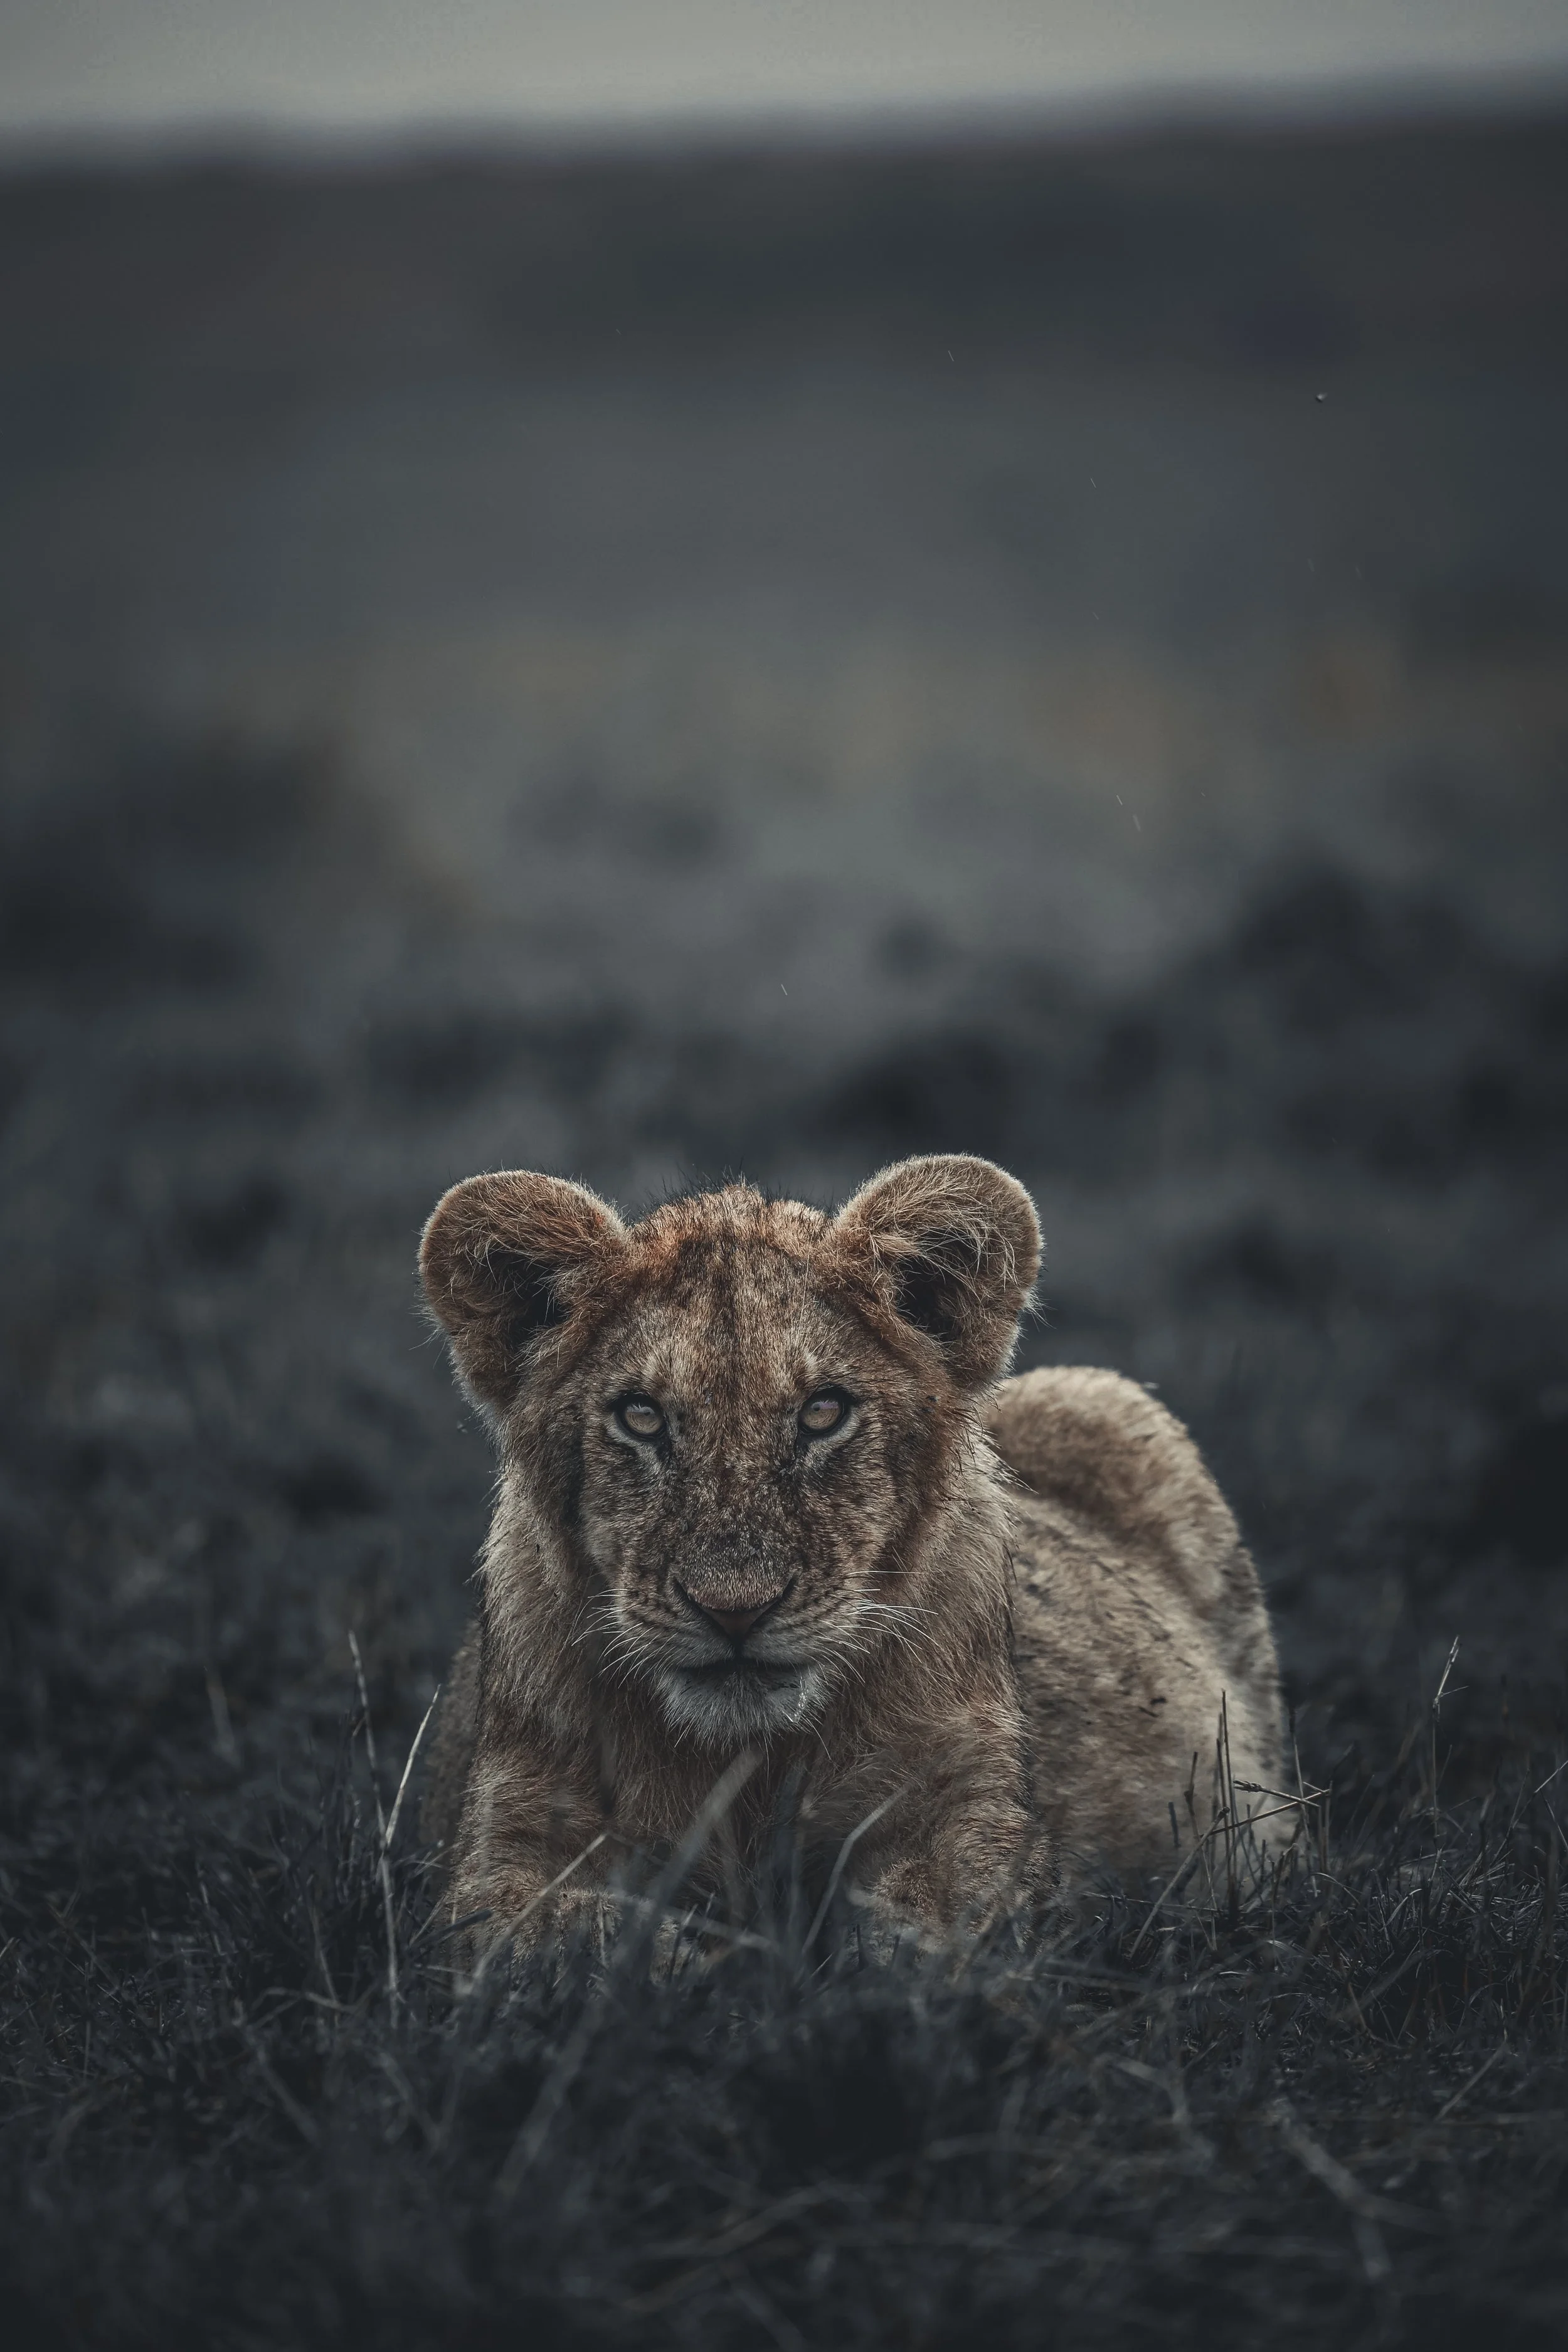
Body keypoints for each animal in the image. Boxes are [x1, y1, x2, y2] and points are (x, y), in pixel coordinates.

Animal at [417, 1154, 1281, 1955]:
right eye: (641, 1417)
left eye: (822, 1412)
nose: (735, 1610)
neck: (752, 1770)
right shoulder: (511, 1841)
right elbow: (561, 1938)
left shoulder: (965, 1811)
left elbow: (936, 1938)